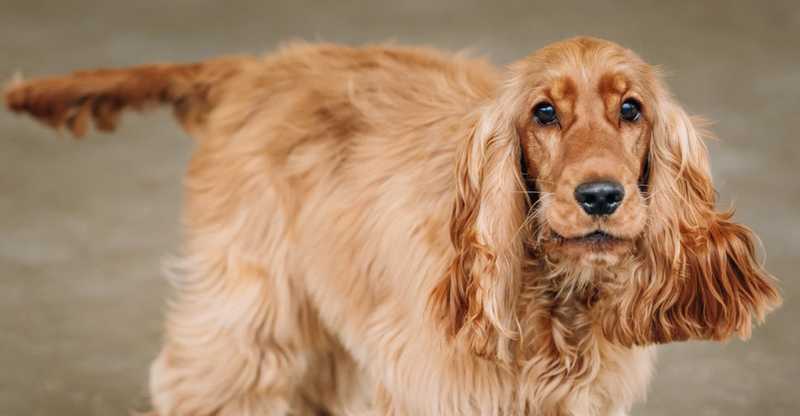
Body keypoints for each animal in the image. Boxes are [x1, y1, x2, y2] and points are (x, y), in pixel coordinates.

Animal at [4, 36, 780, 416]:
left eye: (631, 109)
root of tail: (259, 68)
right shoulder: (436, 390)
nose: (600, 196)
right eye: (544, 113)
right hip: (254, 305)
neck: (552, 301)